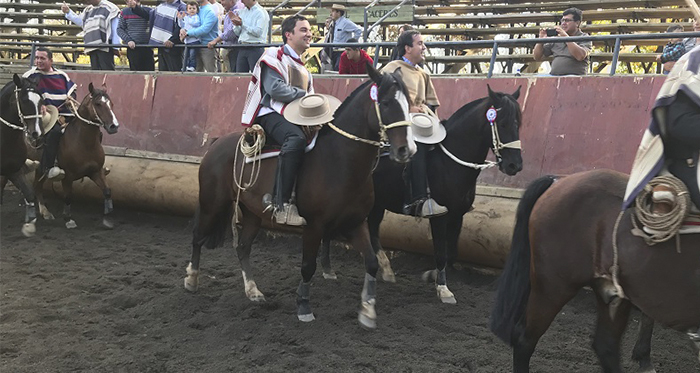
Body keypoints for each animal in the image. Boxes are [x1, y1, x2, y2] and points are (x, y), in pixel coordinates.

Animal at [0, 73, 45, 235]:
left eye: (41, 100)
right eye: (24, 100)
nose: (37, 133)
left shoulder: (13, 170)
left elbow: (29, 192)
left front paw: (29, 224)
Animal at [34, 83, 119, 230]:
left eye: (111, 103)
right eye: (98, 103)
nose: (114, 126)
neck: (83, 143)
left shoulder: (95, 171)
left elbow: (107, 191)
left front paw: (108, 217)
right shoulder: (67, 176)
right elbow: (68, 196)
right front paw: (68, 219)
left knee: (37, 186)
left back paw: (45, 212)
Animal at [186, 64, 416, 328]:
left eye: (409, 103)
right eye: (386, 103)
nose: (406, 150)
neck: (339, 160)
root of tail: (216, 143)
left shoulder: (355, 223)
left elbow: (371, 262)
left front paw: (367, 311)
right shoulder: (314, 226)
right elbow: (308, 266)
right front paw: (304, 307)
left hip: (252, 214)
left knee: (242, 247)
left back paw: (253, 291)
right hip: (212, 203)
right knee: (198, 236)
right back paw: (191, 279)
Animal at [320, 84, 524, 302]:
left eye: (518, 123)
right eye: (502, 124)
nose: (515, 165)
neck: (449, 162)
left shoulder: (458, 215)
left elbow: (452, 252)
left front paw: (431, 275)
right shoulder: (440, 216)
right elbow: (441, 252)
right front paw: (443, 289)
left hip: (377, 204)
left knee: (372, 230)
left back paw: (385, 269)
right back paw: (328, 269)